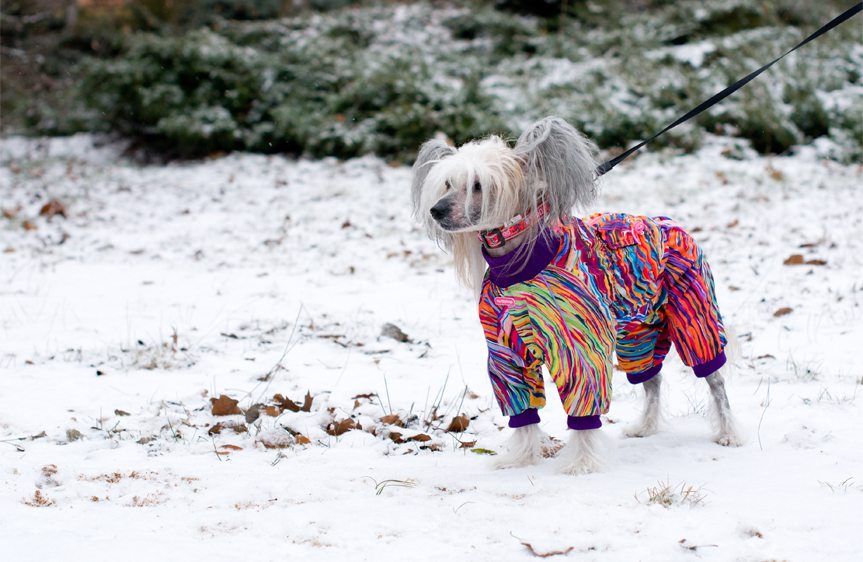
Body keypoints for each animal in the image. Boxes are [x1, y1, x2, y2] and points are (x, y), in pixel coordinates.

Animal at [412, 117, 744, 472]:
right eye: (448, 183)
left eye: (478, 185)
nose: (436, 210)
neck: (517, 264)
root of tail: (668, 221)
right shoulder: (505, 352)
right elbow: (523, 412)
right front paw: (521, 459)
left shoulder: (580, 346)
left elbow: (584, 403)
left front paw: (581, 463)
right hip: (638, 332)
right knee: (651, 379)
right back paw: (646, 426)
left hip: (693, 313)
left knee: (714, 380)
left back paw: (729, 432)